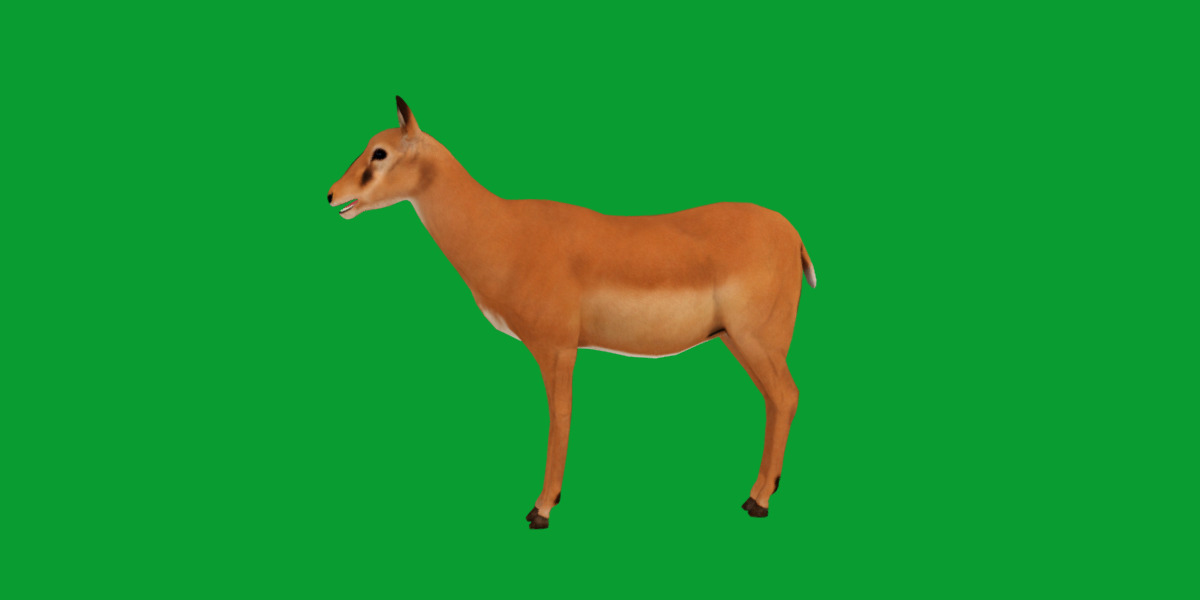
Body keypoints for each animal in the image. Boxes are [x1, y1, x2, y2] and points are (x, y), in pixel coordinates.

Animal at [327, 96, 818, 529]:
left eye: (379, 151)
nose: (332, 195)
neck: (504, 232)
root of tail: (792, 234)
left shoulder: (558, 349)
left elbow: (560, 417)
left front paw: (541, 509)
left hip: (758, 342)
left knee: (787, 397)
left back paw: (759, 502)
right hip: (739, 341)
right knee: (777, 400)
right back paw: (756, 496)